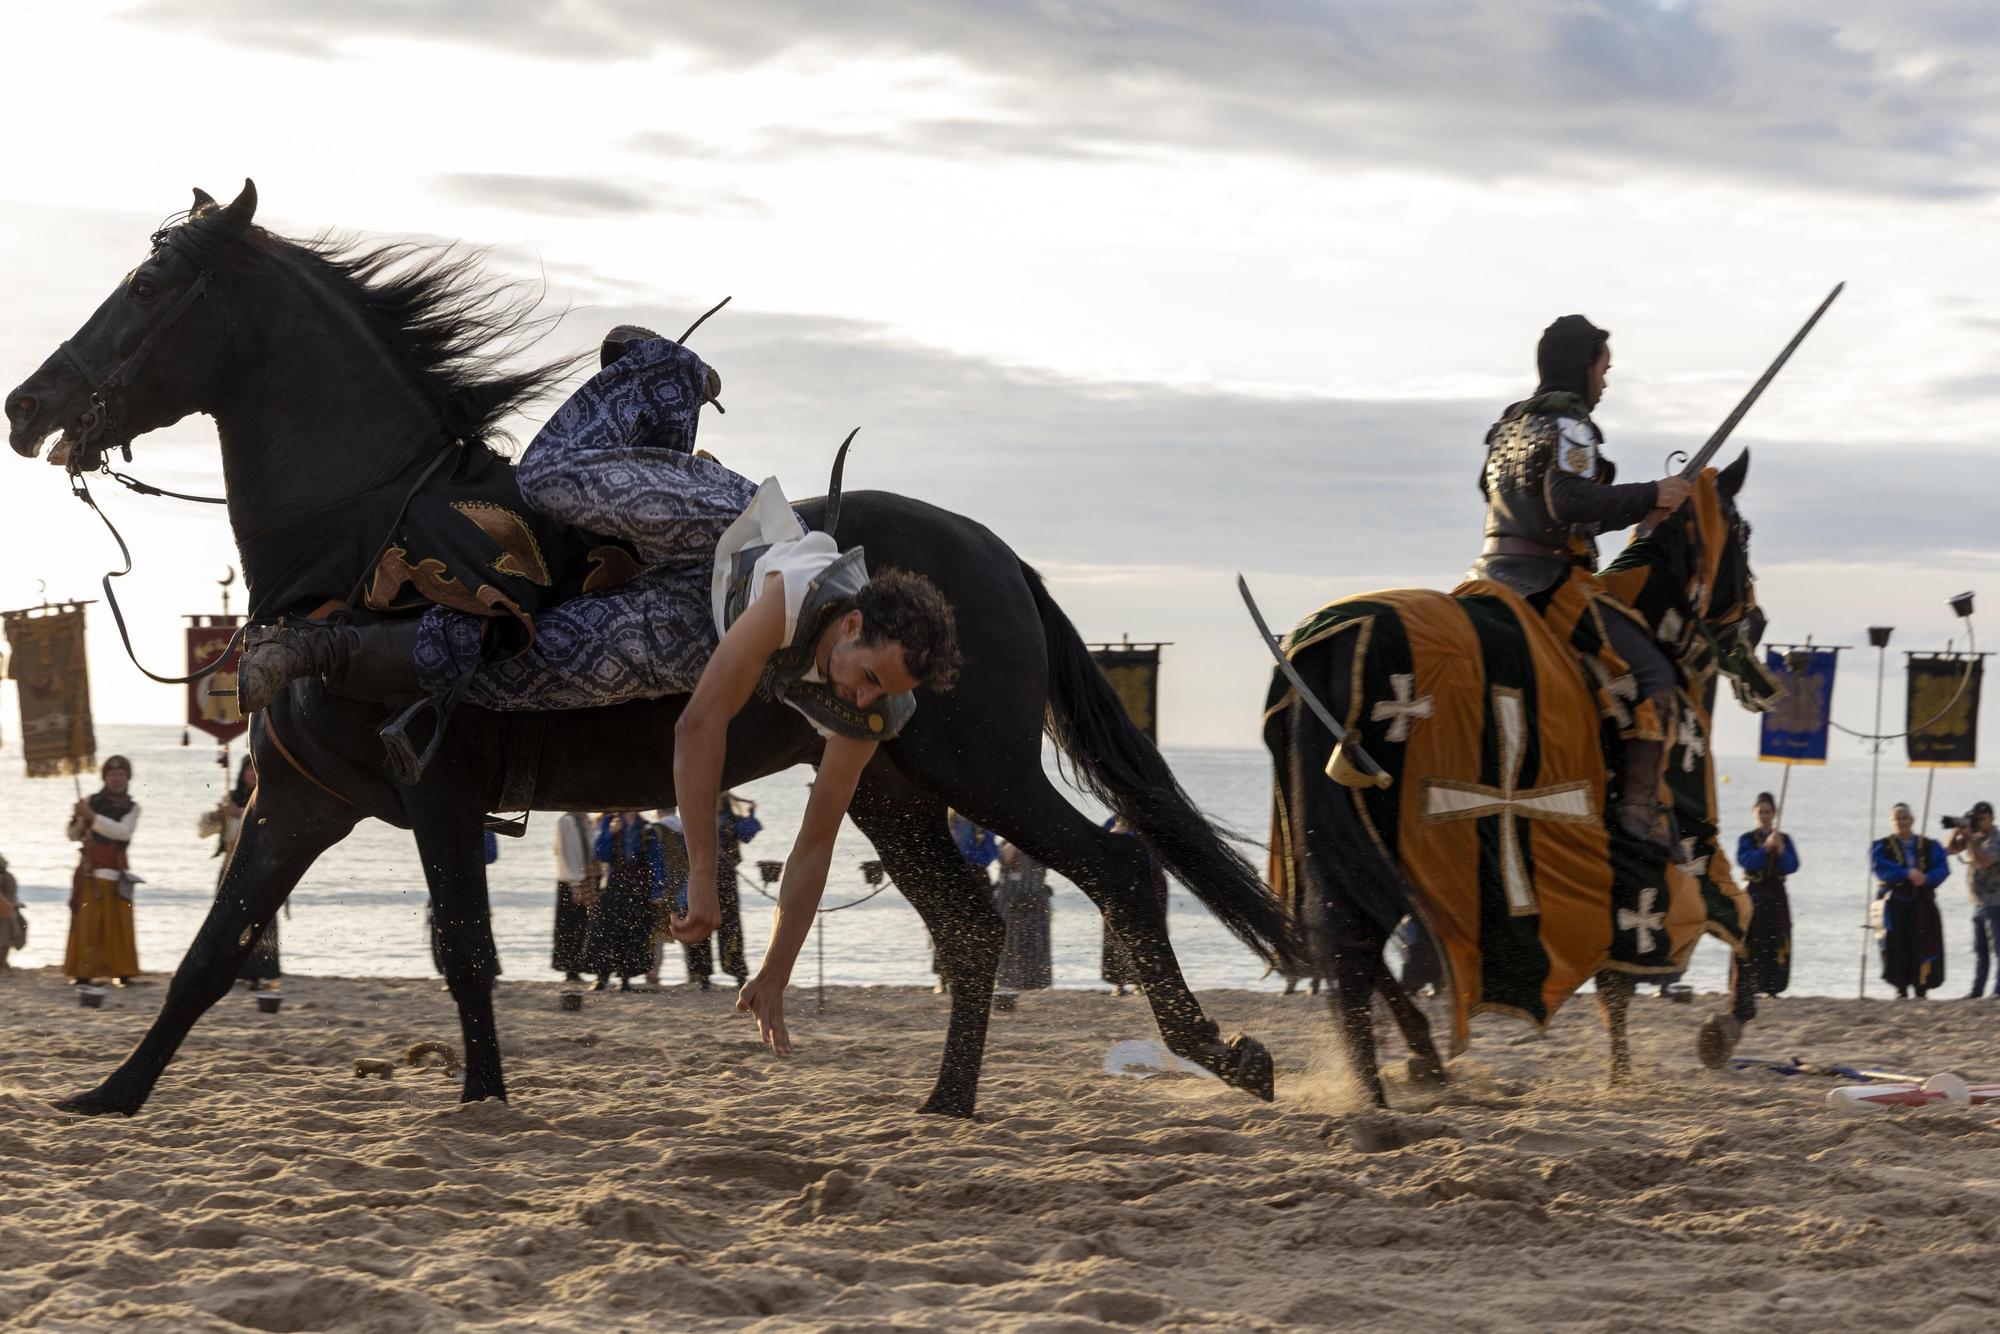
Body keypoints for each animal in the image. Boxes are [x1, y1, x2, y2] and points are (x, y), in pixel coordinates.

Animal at [11, 177, 1296, 1120]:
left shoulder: (436, 791)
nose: (28, 404)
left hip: (979, 766)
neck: (370, 535)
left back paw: (1219, 1051)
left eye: (149, 282)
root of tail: (993, 553)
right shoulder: (296, 798)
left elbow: (464, 950)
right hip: (888, 779)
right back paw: (945, 1102)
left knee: (1115, 868)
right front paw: (109, 1096)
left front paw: (483, 1102)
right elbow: (213, 951)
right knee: (974, 924)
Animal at [1264, 460, 1768, 1104]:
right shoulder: (1686, 854)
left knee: (1350, 948)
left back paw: (1412, 1066)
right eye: (1744, 535)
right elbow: (1742, 917)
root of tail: (1326, 642)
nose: (1757, 627)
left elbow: (1618, 985)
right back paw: (1380, 1093)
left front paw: (1621, 1074)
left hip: (1338, 841)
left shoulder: (1625, 892)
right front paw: (1721, 1031)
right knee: (1356, 952)